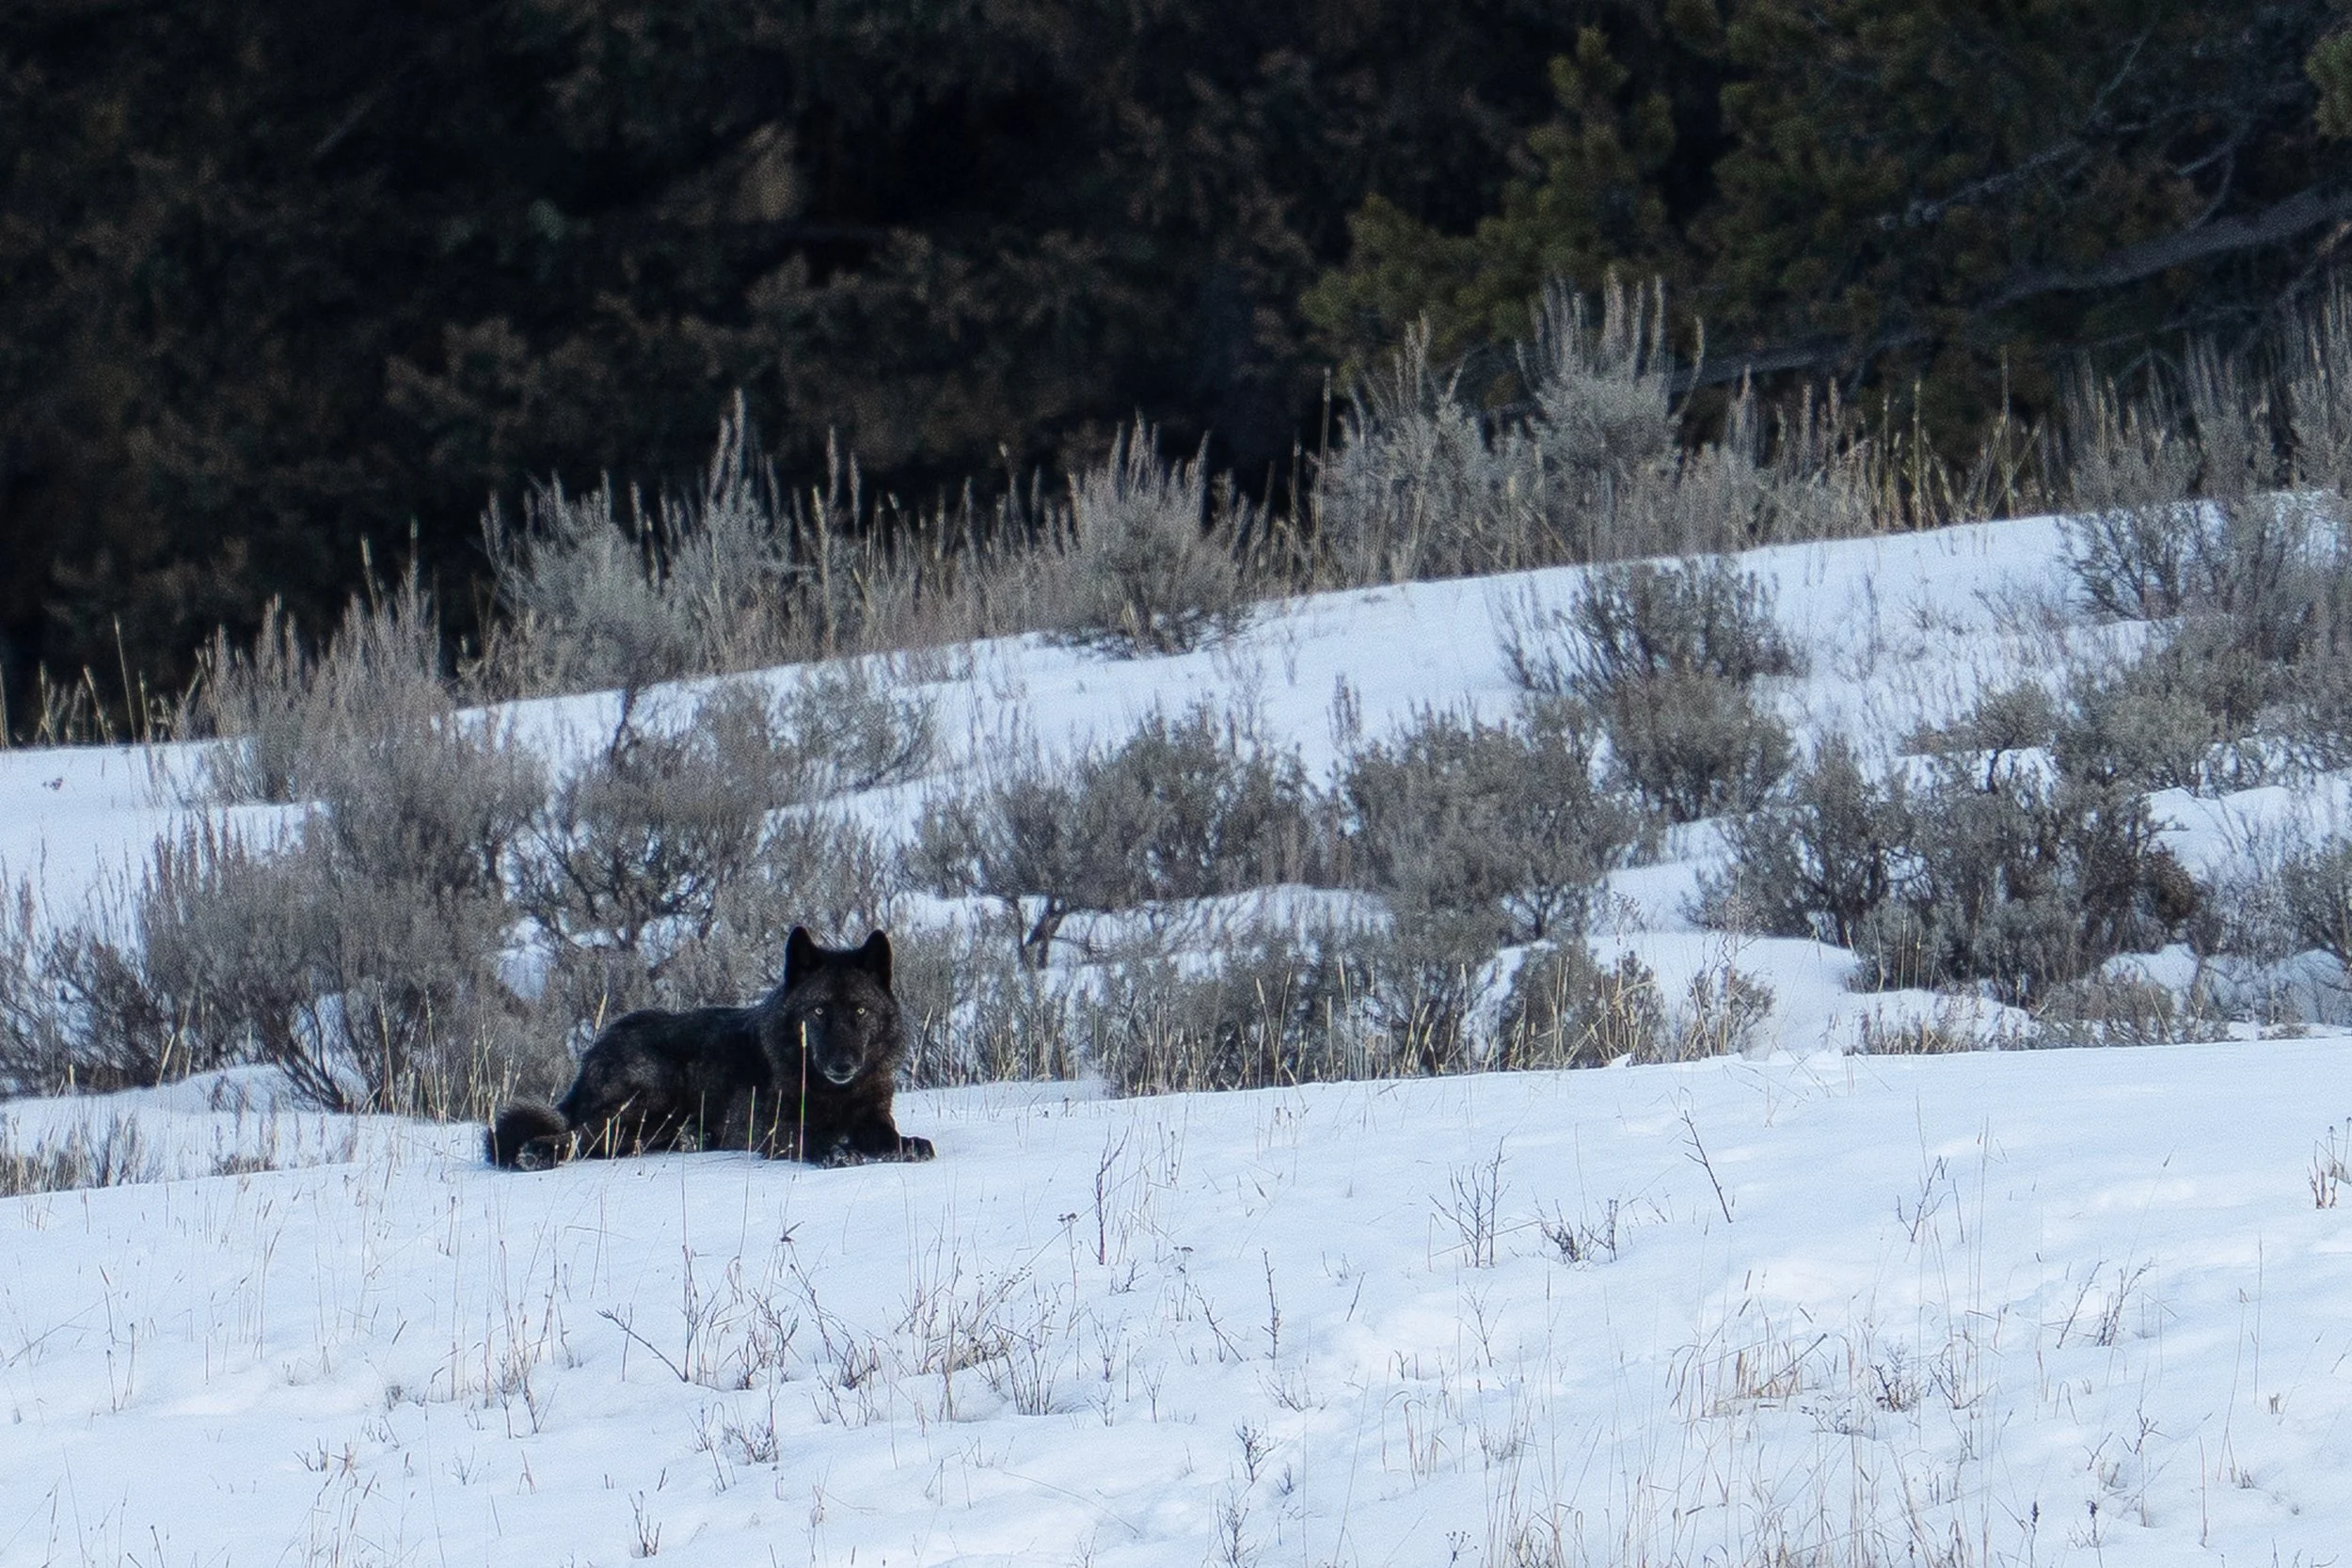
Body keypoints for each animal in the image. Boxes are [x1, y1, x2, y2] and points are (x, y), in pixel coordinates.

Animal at [486, 928, 934, 1170]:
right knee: (578, 1136)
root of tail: (596, 1049)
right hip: (654, 1094)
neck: (834, 1091)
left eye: (859, 1010)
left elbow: (888, 1135)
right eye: (820, 1010)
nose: (842, 1064)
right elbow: (811, 1136)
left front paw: (907, 1146)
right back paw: (535, 1153)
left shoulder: (874, 1115)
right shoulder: (771, 1129)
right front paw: (838, 1152)